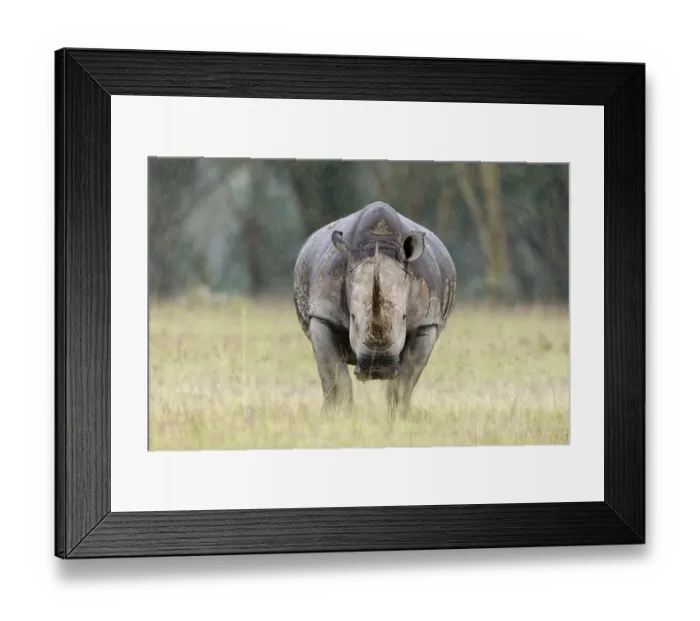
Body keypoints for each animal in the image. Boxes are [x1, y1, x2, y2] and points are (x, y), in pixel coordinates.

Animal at [293, 201, 457, 416]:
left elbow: (402, 384)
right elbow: (336, 379)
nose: (378, 368)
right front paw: (336, 415)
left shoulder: (426, 321)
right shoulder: (323, 315)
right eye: (353, 317)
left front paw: (398, 417)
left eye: (404, 317)